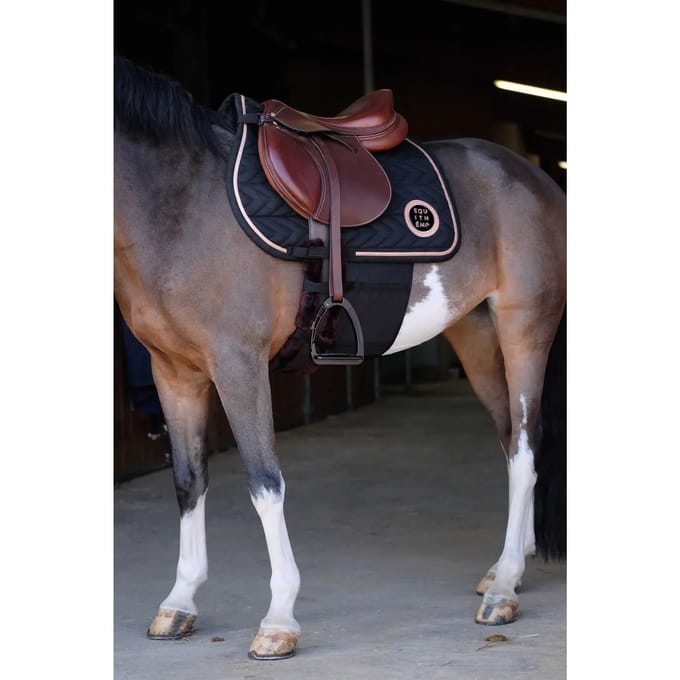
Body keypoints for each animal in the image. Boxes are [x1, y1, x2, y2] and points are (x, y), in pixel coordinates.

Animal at [114, 56, 566, 660]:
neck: (181, 204)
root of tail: (533, 176)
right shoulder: (173, 371)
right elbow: (189, 480)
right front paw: (179, 603)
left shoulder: (238, 364)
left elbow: (264, 483)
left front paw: (279, 620)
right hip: (476, 338)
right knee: (511, 441)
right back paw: (502, 572)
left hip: (524, 330)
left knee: (525, 449)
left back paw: (504, 591)